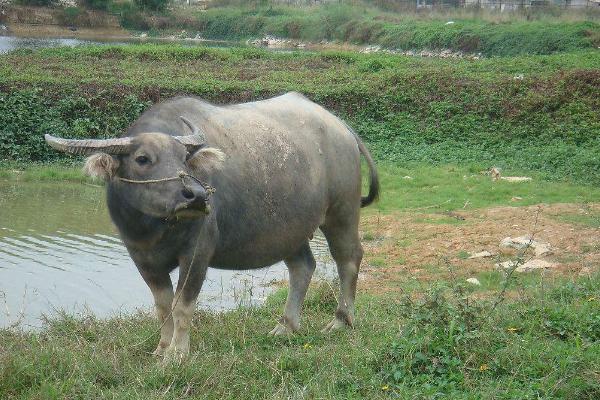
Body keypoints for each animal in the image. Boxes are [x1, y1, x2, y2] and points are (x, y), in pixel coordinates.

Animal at [45, 92, 380, 360]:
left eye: (184, 158)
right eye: (142, 159)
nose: (196, 195)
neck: (155, 228)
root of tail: (341, 127)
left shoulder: (197, 253)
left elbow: (182, 306)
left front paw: (177, 355)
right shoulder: (141, 258)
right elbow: (163, 307)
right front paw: (161, 349)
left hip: (342, 212)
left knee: (348, 259)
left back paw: (340, 320)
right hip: (290, 229)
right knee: (303, 267)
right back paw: (285, 326)